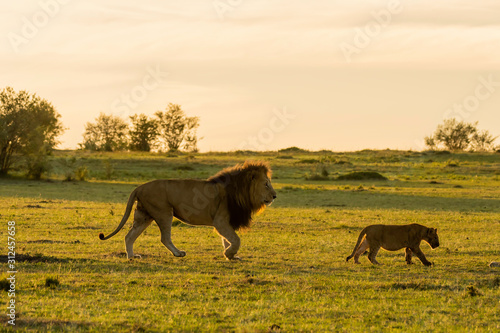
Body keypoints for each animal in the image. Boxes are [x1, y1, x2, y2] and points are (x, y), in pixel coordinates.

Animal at [97, 159, 278, 260]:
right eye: (266, 184)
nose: (275, 196)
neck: (241, 191)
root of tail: (139, 187)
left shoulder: (226, 222)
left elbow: (227, 239)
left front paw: (232, 256)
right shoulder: (220, 221)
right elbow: (235, 239)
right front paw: (229, 254)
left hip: (144, 215)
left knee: (129, 236)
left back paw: (131, 257)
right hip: (164, 212)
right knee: (164, 238)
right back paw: (178, 253)